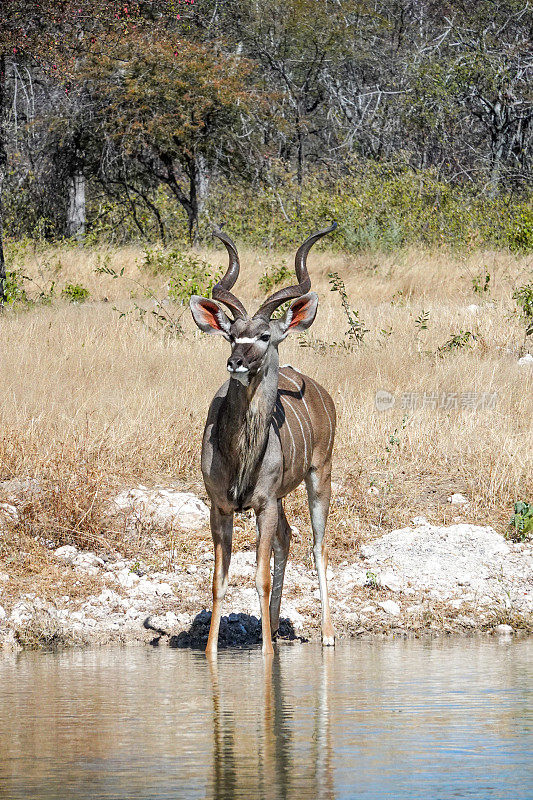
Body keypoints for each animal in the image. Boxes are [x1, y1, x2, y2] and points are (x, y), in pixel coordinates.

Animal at [189, 222, 334, 652]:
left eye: (266, 335)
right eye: (231, 335)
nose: (236, 361)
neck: (240, 454)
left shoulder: (263, 504)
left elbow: (261, 577)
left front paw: (268, 652)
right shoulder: (220, 507)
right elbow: (218, 582)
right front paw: (211, 651)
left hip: (320, 476)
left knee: (318, 545)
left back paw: (327, 634)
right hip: (282, 499)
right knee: (288, 538)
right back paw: (273, 624)